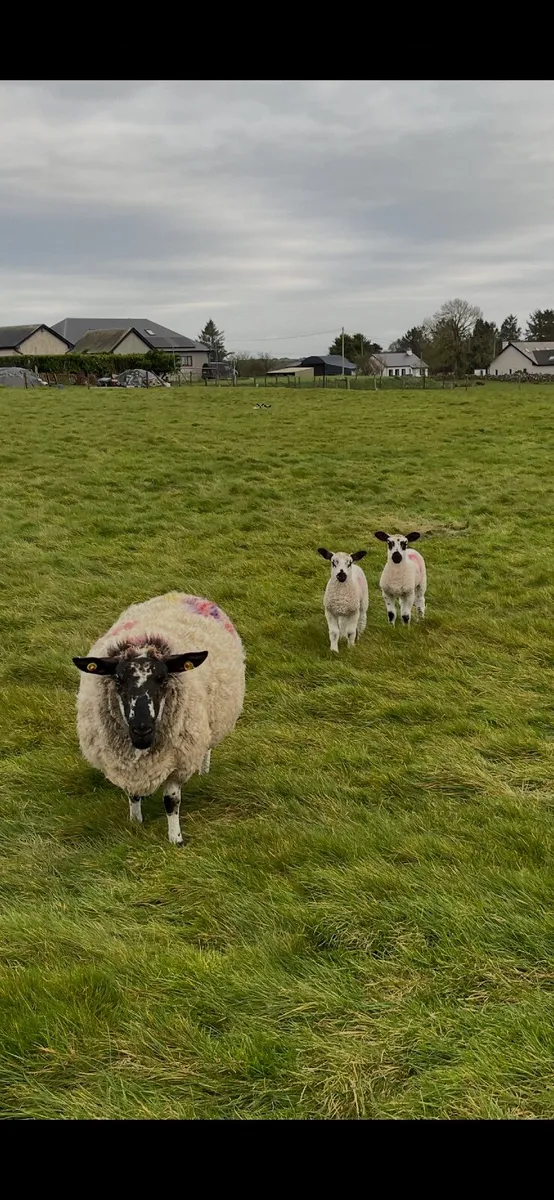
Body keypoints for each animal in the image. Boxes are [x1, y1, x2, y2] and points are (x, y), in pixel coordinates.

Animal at [72, 592, 245, 845]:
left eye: (163, 678)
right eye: (118, 679)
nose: (141, 728)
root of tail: (182, 593)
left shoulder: (179, 759)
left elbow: (171, 802)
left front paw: (176, 839)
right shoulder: (128, 765)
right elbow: (133, 795)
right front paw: (135, 822)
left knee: (207, 745)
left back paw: (204, 770)